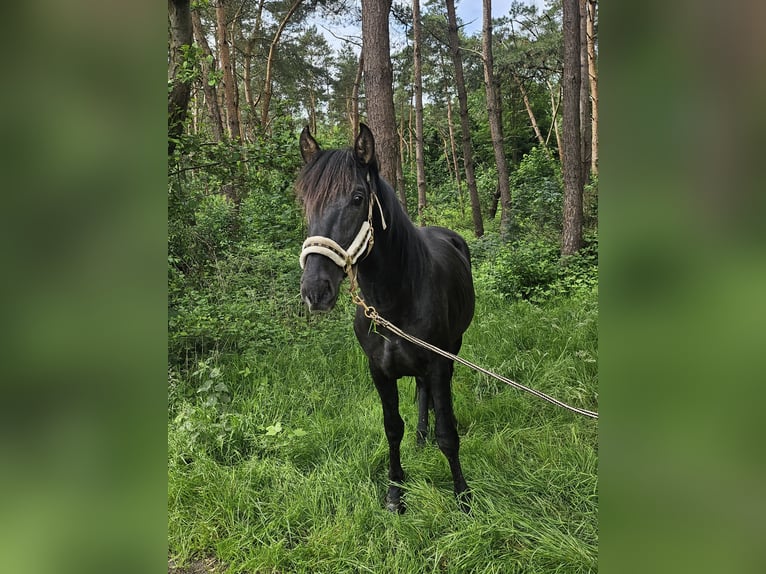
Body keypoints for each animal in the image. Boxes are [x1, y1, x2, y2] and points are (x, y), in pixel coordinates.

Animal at [298, 124, 474, 516]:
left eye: (358, 197)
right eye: (305, 201)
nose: (315, 290)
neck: (394, 301)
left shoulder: (438, 364)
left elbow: (448, 434)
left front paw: (464, 497)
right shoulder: (378, 370)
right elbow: (393, 428)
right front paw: (395, 493)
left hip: (454, 349)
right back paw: (421, 436)